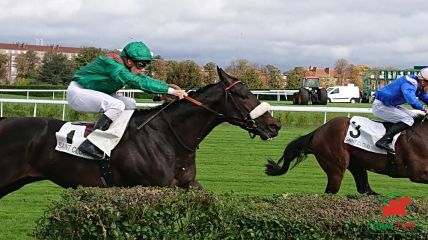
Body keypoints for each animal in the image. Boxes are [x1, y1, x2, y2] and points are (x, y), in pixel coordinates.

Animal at [266, 116, 426, 195]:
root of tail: (318, 131)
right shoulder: (418, 173)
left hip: (357, 165)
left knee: (365, 189)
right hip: (336, 168)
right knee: (330, 192)